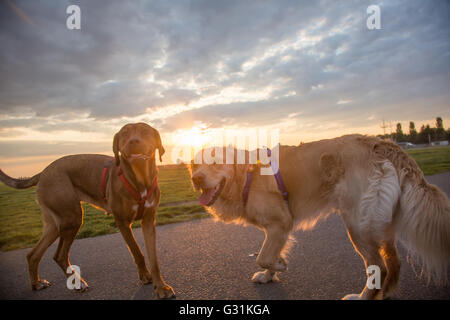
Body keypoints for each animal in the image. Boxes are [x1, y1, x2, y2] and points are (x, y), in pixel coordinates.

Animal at [0, 123, 175, 300]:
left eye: (145, 131)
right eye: (124, 133)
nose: (133, 141)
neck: (140, 178)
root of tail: (43, 172)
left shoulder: (149, 220)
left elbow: (154, 259)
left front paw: (161, 287)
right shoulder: (122, 222)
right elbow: (137, 251)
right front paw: (145, 276)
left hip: (55, 224)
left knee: (33, 254)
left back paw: (36, 283)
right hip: (72, 218)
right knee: (59, 255)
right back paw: (78, 283)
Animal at [190, 134, 450, 298]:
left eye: (215, 163)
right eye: (194, 165)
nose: (196, 178)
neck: (247, 176)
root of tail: (381, 143)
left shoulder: (281, 223)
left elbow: (263, 256)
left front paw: (278, 266)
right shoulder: (275, 229)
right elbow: (268, 254)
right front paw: (269, 274)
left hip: (356, 224)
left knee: (379, 267)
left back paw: (362, 297)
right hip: (380, 224)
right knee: (394, 263)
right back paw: (384, 294)